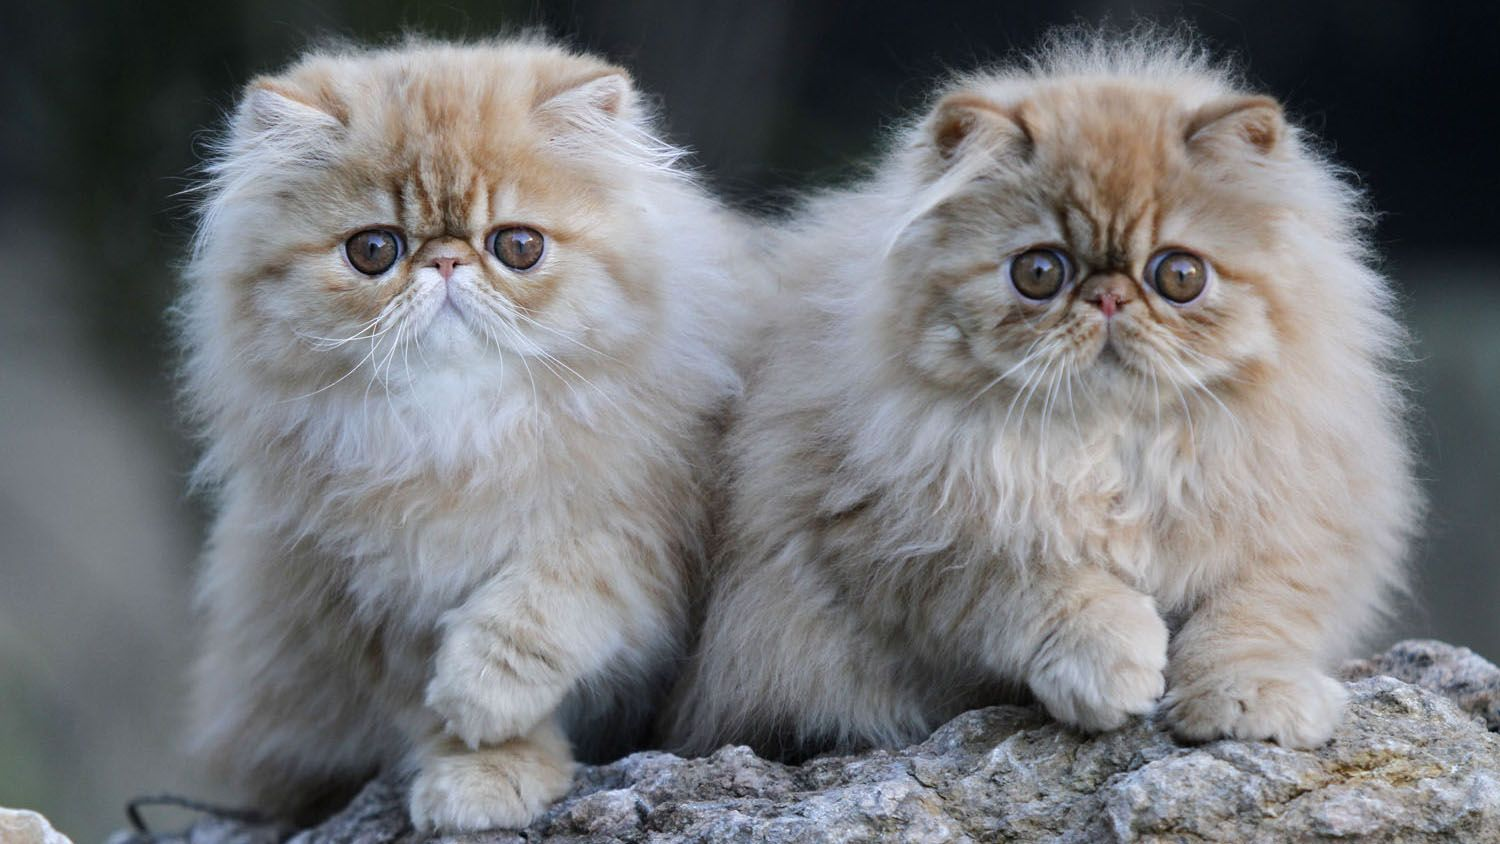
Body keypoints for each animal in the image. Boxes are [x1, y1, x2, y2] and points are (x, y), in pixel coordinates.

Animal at [181, 39, 750, 833]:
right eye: (373, 250)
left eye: (517, 245)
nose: (446, 260)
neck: (458, 432)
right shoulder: (368, 593)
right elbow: (426, 705)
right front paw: (483, 766)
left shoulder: (652, 521)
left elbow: (558, 590)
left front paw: (482, 691)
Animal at [669, 32, 1416, 758]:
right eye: (1038, 273)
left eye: (1178, 275)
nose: (1109, 297)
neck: (1109, 447)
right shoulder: (906, 535)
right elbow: (1042, 583)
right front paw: (1112, 665)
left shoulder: (1298, 522)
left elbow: (1252, 620)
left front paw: (1248, 703)